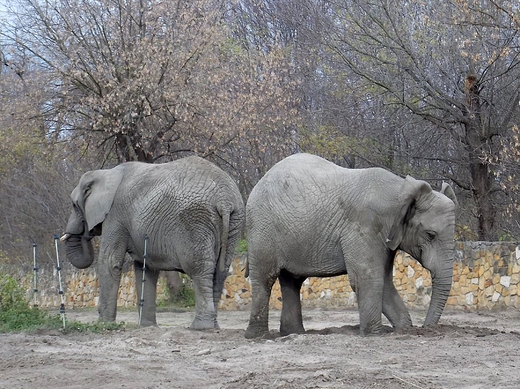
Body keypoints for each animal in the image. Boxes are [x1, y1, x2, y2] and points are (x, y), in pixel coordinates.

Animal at [60, 155, 244, 328]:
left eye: (74, 205)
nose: (86, 232)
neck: (106, 173)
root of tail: (224, 199)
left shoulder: (115, 215)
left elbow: (110, 261)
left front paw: (104, 324)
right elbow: (145, 267)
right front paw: (147, 326)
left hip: (196, 220)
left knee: (200, 269)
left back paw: (200, 327)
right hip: (234, 221)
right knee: (221, 270)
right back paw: (213, 325)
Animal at [244, 152, 456, 336]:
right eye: (430, 235)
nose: (427, 328)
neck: (401, 189)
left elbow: (384, 280)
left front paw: (403, 329)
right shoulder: (364, 226)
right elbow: (368, 278)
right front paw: (374, 335)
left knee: (292, 282)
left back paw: (293, 333)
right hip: (262, 228)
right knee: (265, 279)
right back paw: (257, 336)